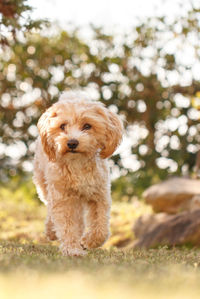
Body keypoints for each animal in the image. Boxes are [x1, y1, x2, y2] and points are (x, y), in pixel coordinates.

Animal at [33, 92, 122, 256]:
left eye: (87, 126)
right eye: (62, 126)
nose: (72, 143)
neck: (77, 163)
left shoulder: (100, 195)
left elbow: (101, 227)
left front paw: (88, 241)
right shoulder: (63, 198)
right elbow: (67, 225)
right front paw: (72, 249)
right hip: (44, 185)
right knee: (50, 209)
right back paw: (51, 231)